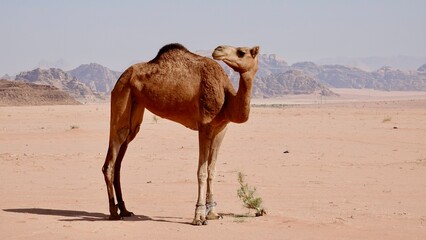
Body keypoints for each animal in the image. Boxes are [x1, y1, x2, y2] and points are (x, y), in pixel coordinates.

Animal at [103, 43, 260, 225]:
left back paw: (124, 209)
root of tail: (121, 77)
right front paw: (199, 216)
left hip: (135, 108)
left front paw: (213, 213)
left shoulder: (221, 129)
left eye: (241, 52)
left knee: (121, 155)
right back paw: (113, 212)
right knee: (113, 152)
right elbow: (202, 172)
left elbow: (212, 171)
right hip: (122, 94)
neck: (227, 99)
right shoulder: (204, 125)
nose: (218, 49)